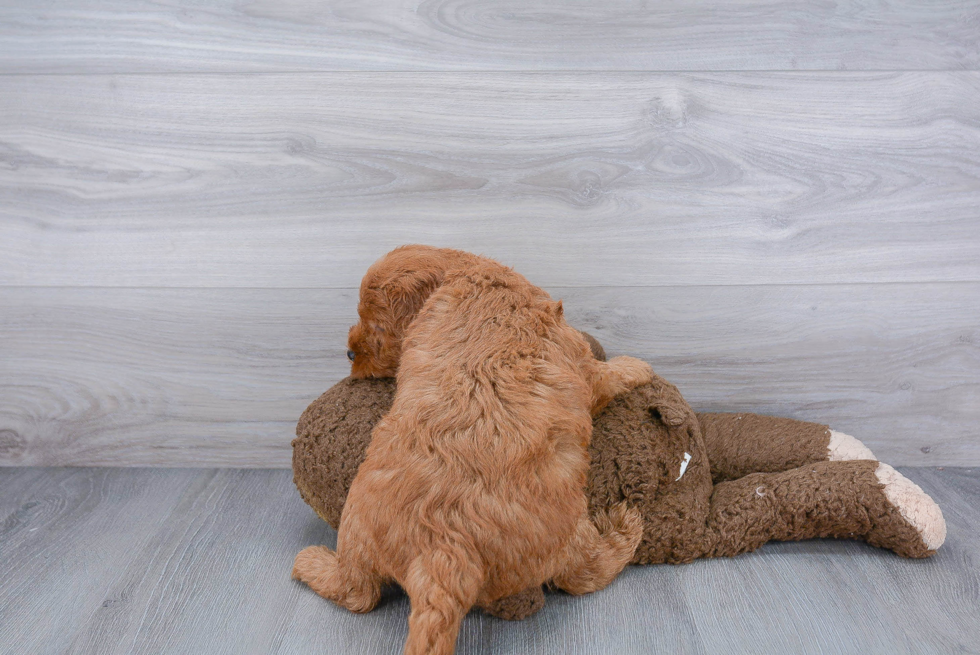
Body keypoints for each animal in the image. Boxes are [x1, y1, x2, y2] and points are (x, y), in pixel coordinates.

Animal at [294, 247, 656, 655]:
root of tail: (443, 550)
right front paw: (637, 366)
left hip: (357, 529)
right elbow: (606, 375)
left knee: (358, 591)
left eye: (375, 324)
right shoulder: (580, 362)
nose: (349, 352)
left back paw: (310, 562)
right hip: (568, 536)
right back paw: (624, 524)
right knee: (586, 574)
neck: (466, 273)